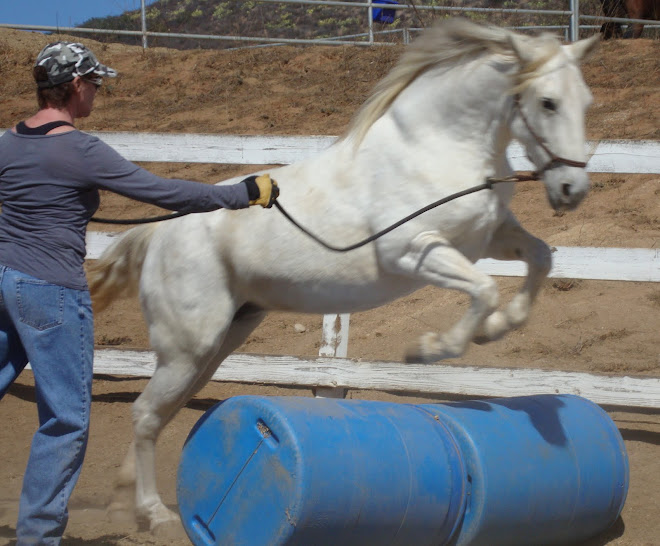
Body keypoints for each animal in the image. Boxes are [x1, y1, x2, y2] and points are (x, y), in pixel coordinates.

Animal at [87, 19, 600, 532]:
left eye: (585, 101)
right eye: (547, 102)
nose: (572, 190)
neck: (439, 147)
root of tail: (160, 231)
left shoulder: (490, 238)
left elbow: (540, 259)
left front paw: (498, 328)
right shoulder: (414, 250)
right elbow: (485, 289)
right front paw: (429, 349)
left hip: (218, 344)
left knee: (160, 410)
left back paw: (126, 504)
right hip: (189, 345)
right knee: (146, 413)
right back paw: (153, 513)